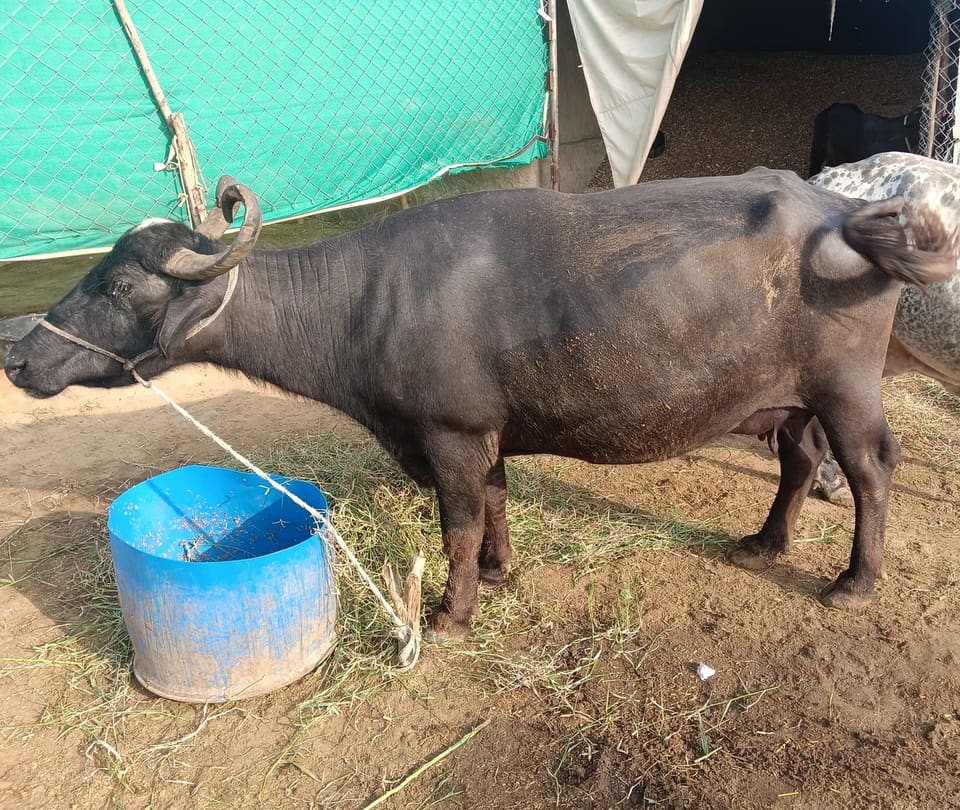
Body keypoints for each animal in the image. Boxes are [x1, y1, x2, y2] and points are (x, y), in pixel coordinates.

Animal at [4, 169, 955, 638]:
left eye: (118, 283)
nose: (18, 354)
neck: (364, 301)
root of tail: (843, 213)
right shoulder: (484, 436)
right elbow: (495, 504)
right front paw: (498, 573)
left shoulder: (451, 435)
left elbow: (456, 523)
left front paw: (454, 612)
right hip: (789, 400)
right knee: (800, 461)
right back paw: (765, 542)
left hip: (846, 388)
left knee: (871, 470)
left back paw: (853, 581)